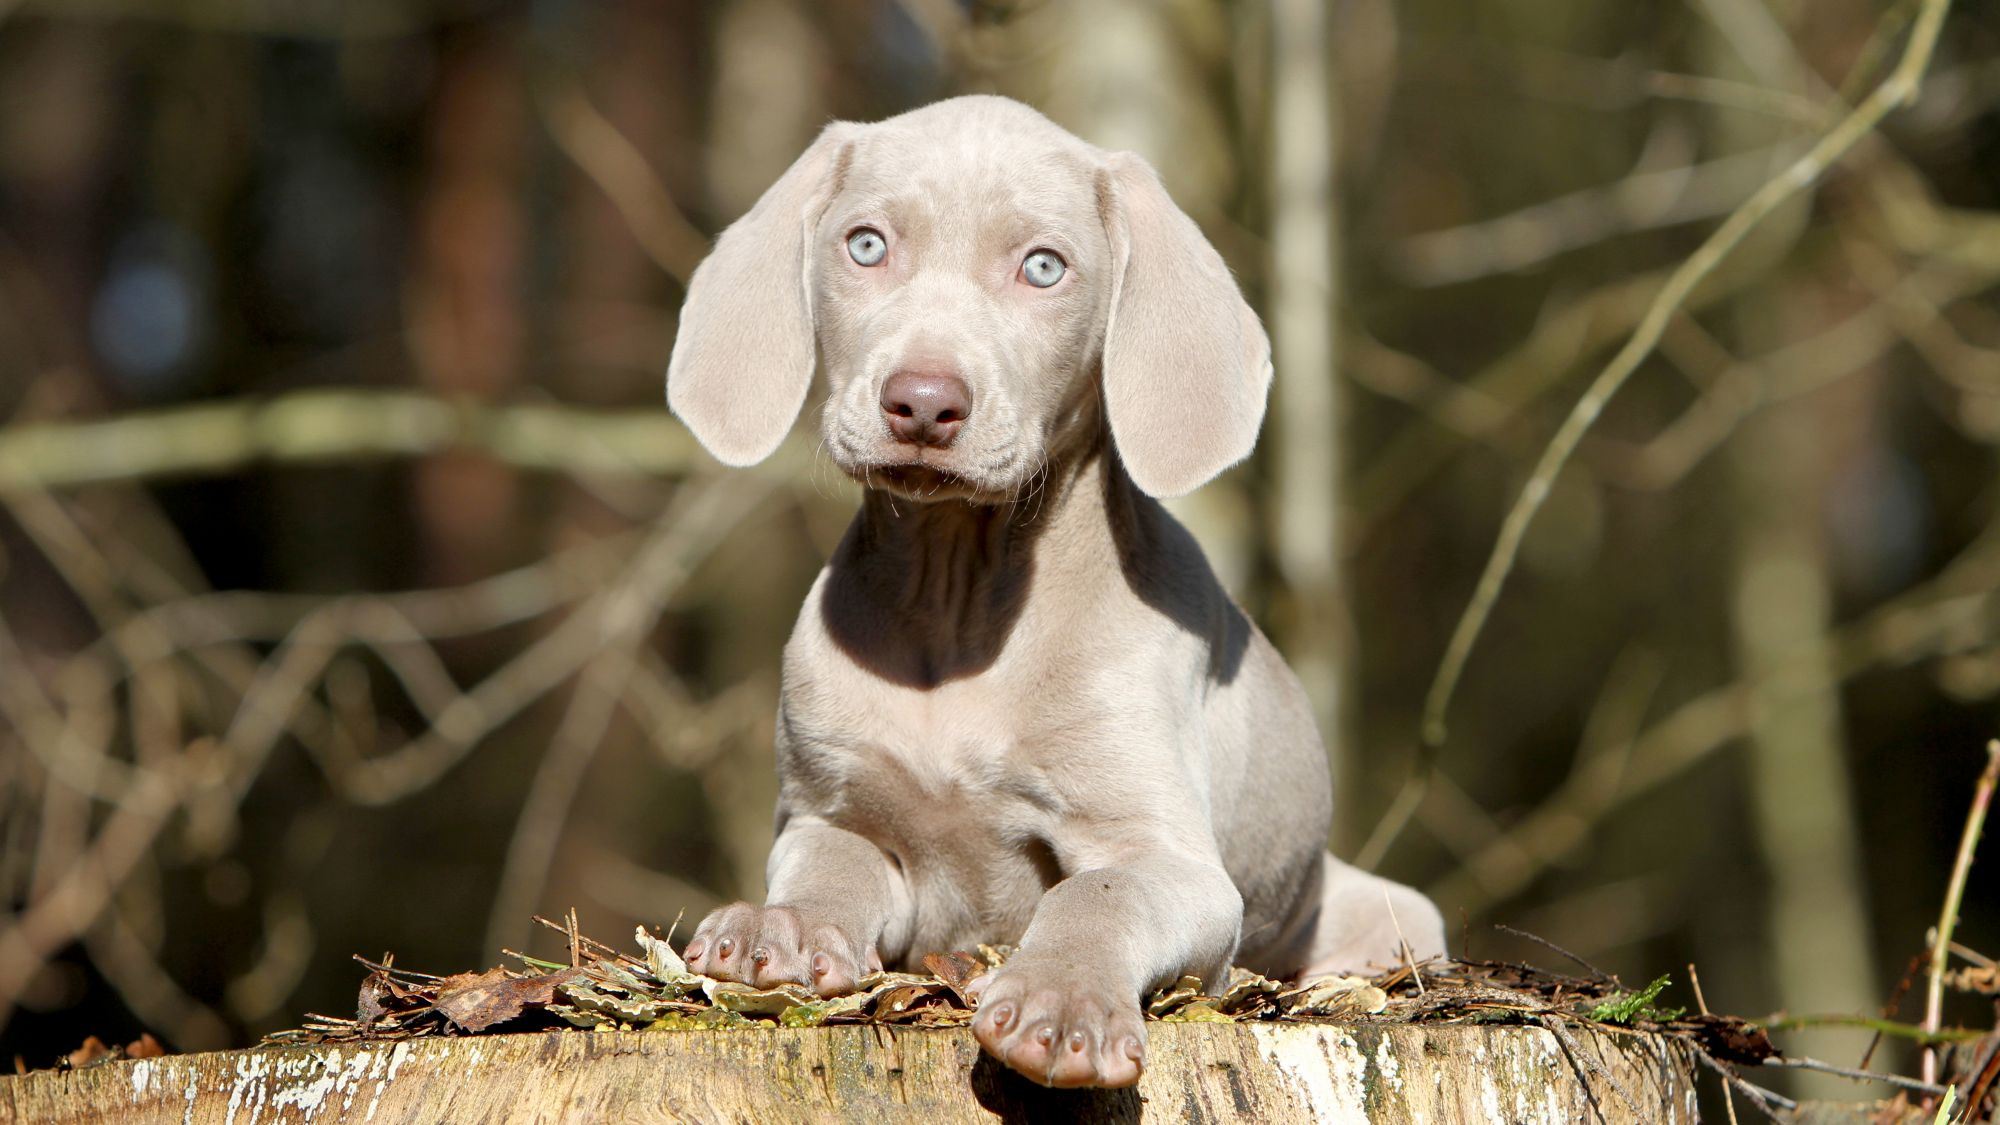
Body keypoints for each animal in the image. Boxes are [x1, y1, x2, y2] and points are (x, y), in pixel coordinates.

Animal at [668, 96, 1440, 1088]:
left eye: (1043, 267)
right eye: (866, 245)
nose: (923, 402)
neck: (956, 601)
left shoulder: (1172, 858)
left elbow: (1098, 893)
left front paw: (1061, 997)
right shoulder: (824, 806)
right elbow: (830, 863)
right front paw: (786, 926)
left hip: (1384, 914)